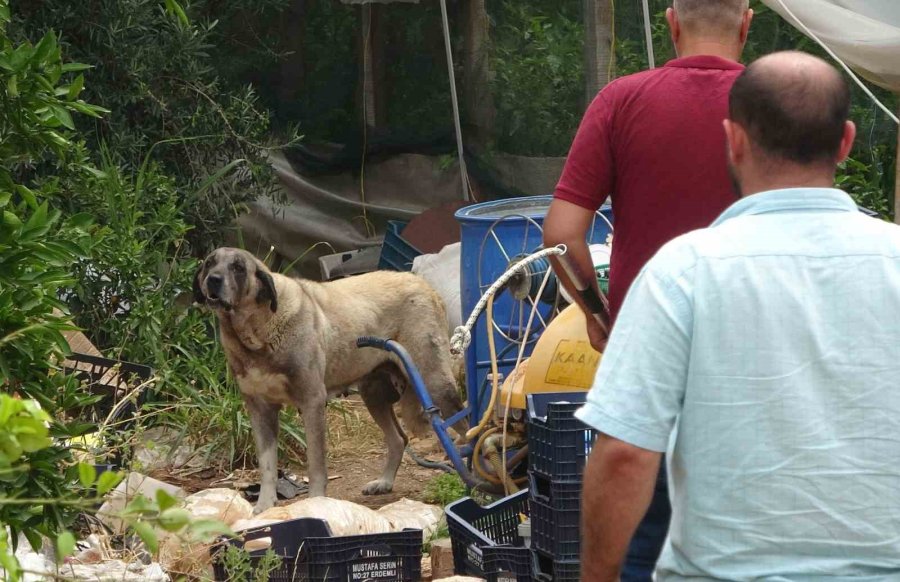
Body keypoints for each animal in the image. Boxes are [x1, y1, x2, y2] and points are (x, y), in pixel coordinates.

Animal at [194, 249, 468, 512]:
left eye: (238, 267)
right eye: (209, 263)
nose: (213, 280)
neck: (257, 333)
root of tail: (422, 283)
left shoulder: (312, 403)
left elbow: (316, 464)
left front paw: (315, 502)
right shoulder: (260, 411)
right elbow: (268, 466)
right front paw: (263, 506)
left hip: (434, 385)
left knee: (465, 429)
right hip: (373, 394)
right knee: (399, 439)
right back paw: (385, 482)